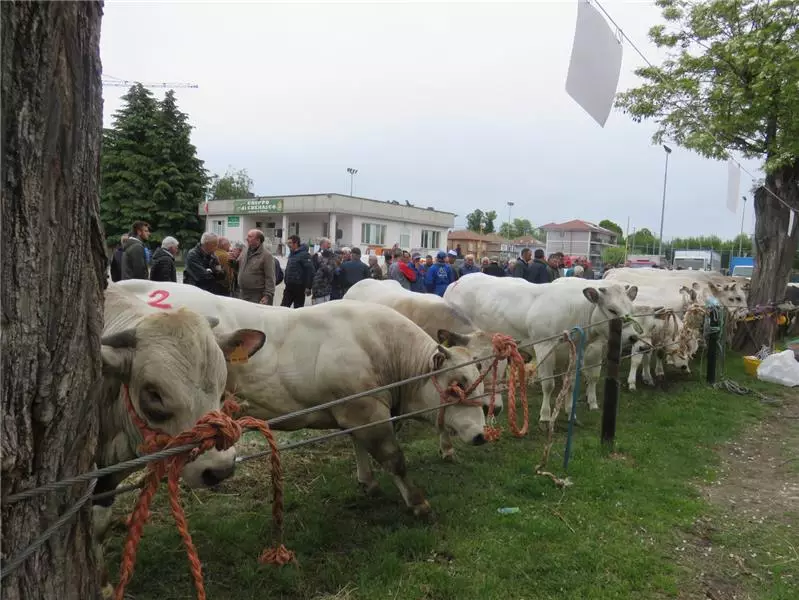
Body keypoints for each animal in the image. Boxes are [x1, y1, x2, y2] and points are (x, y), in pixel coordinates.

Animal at [112, 278, 488, 512]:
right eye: (457, 382)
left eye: (482, 381)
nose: (482, 435)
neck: (382, 346)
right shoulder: (366, 409)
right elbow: (394, 457)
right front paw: (418, 503)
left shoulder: (354, 408)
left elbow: (359, 446)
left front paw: (367, 482)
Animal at [444, 272, 644, 422]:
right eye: (612, 310)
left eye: (632, 309)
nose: (632, 336)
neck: (574, 313)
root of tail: (458, 281)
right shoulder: (544, 346)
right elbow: (548, 384)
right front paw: (546, 415)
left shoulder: (576, 351)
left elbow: (571, 383)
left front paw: (570, 412)